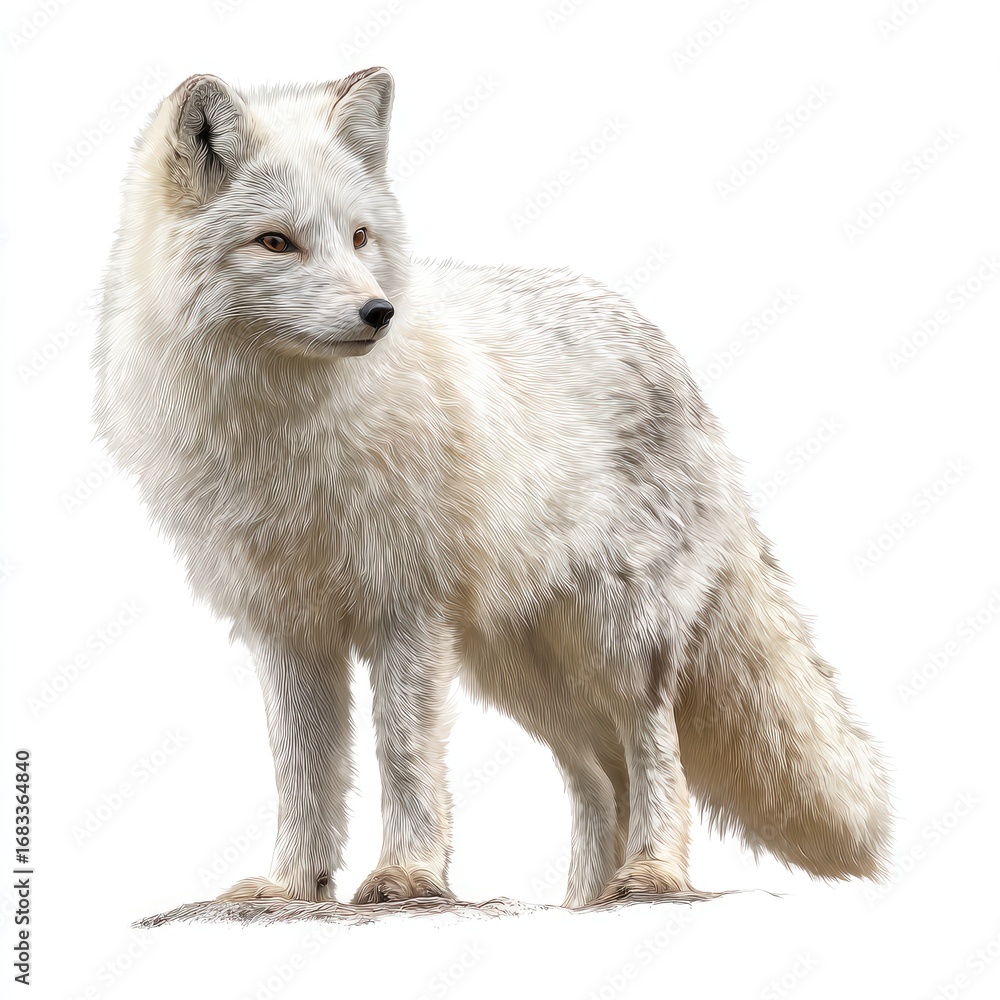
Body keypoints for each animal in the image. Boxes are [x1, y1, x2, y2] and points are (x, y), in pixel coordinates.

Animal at [92, 67, 891, 909]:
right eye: (276, 241)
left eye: (360, 237)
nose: (378, 311)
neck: (287, 431)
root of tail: (661, 345)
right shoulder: (288, 626)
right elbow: (301, 773)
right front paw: (291, 886)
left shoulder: (404, 608)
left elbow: (403, 751)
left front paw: (407, 875)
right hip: (524, 674)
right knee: (599, 779)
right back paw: (581, 901)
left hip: (617, 640)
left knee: (654, 749)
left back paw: (653, 873)